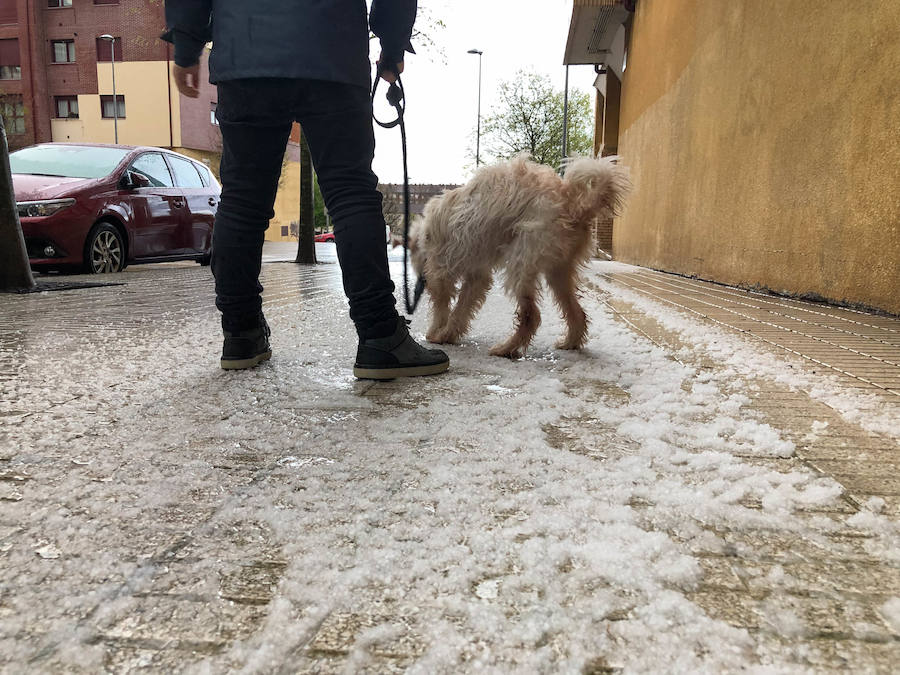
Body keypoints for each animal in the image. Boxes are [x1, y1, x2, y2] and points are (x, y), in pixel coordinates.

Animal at [412, 156, 628, 360]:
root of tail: (572, 205)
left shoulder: (442, 270)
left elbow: (441, 305)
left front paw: (436, 334)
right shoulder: (477, 277)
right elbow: (461, 309)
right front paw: (448, 334)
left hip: (521, 263)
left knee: (530, 315)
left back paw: (506, 349)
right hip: (558, 272)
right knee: (577, 313)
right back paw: (569, 343)